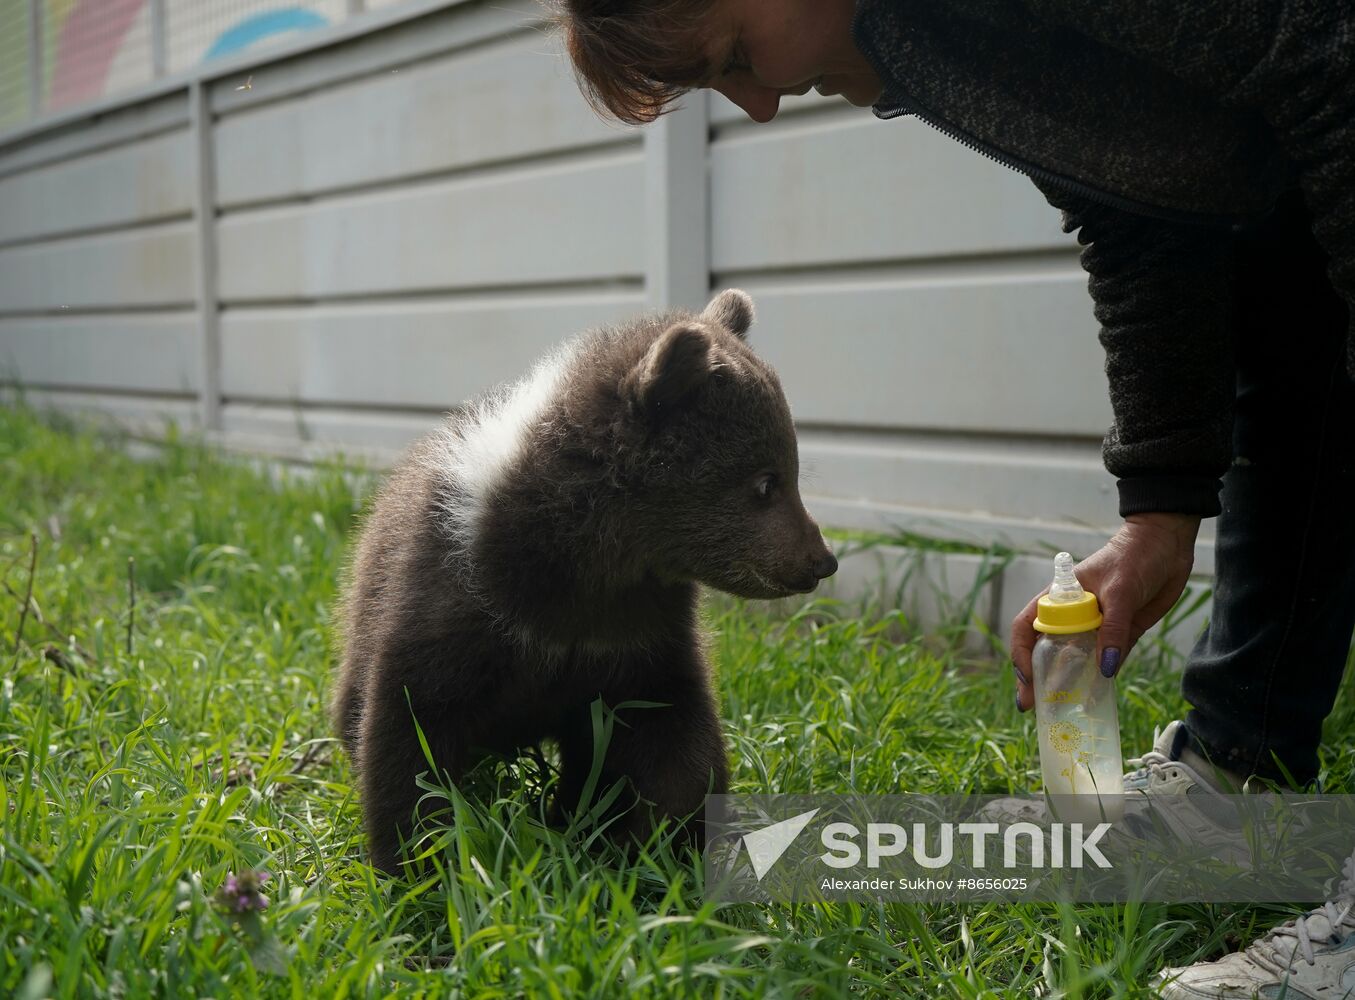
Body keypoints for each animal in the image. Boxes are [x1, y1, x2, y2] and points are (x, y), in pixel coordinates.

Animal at [332, 289, 838, 872]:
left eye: (791, 471)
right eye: (765, 483)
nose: (822, 561)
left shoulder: (635, 640)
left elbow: (673, 737)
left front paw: (664, 849)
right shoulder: (455, 599)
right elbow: (412, 732)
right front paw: (419, 863)